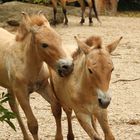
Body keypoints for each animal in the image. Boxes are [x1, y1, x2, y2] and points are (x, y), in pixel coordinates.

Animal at [0, 12, 74, 140]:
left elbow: (56, 108)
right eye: (44, 44)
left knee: (13, 106)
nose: (67, 66)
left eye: (60, 39)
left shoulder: (43, 86)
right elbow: (33, 124)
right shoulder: (21, 92)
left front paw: (58, 137)